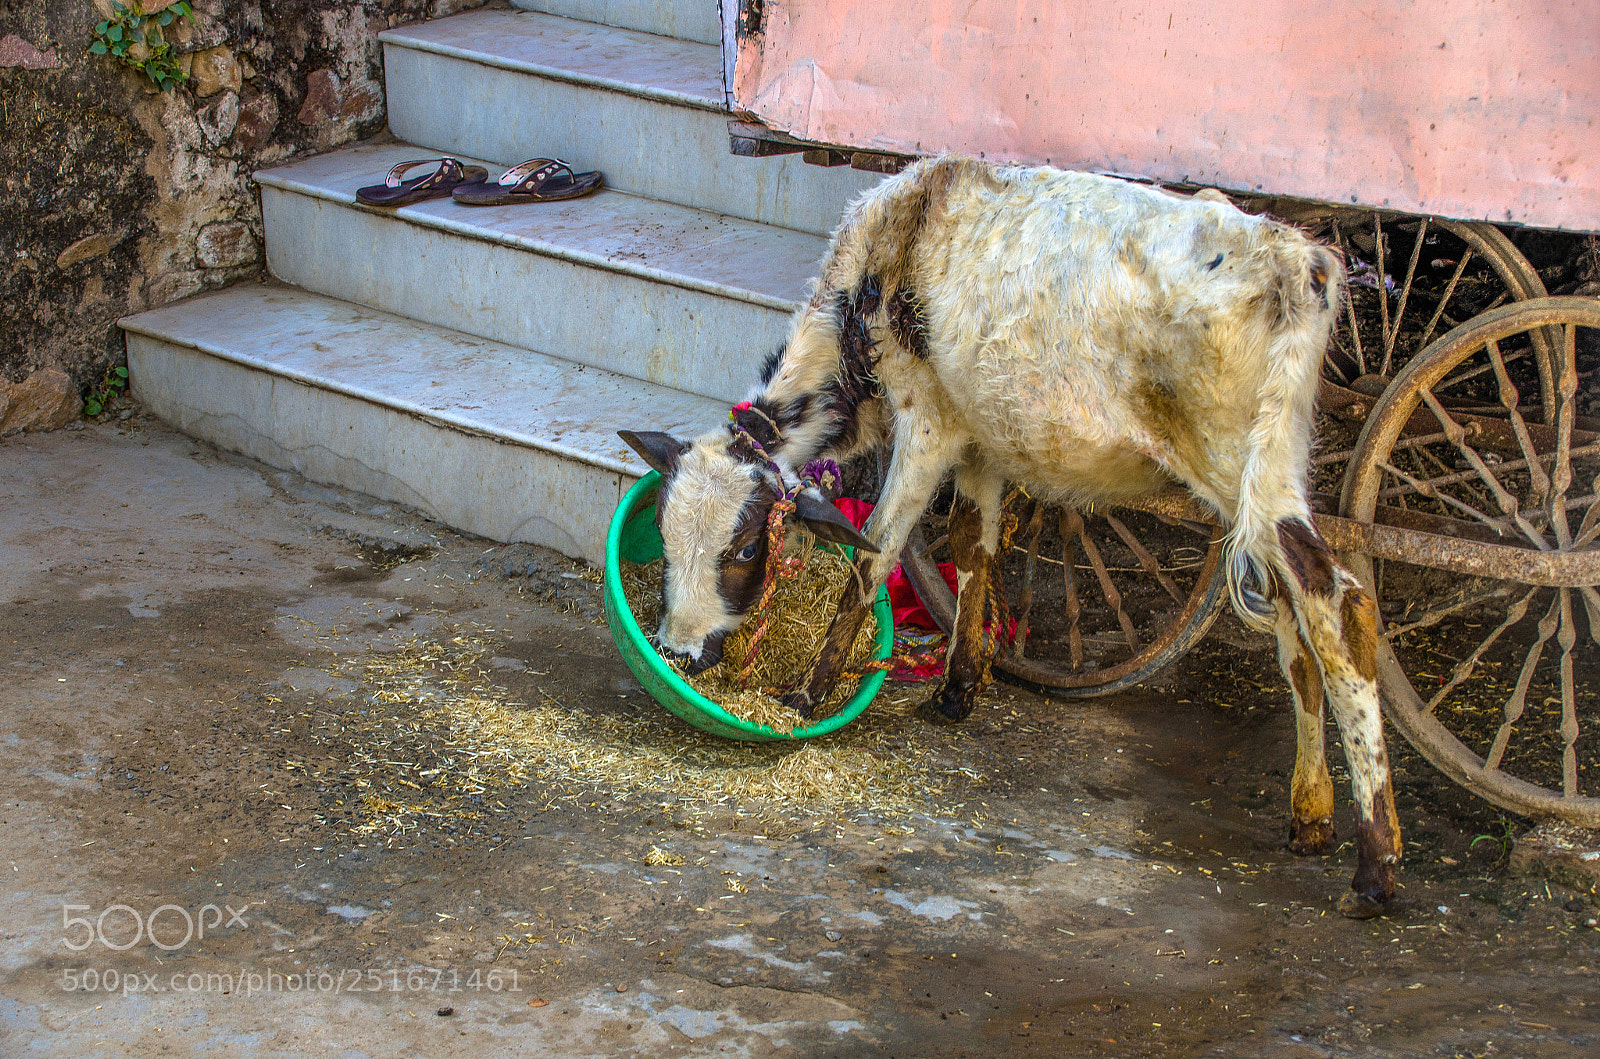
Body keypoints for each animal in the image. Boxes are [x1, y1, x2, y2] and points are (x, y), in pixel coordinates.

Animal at [620, 156, 1401, 918]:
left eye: (746, 549)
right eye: (663, 534)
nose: (679, 653)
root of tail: (1299, 260)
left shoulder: (928, 423)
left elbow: (875, 552)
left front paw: (806, 695)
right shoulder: (980, 440)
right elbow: (974, 546)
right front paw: (958, 688)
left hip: (1237, 463)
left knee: (1339, 606)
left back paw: (1375, 865)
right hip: (1270, 470)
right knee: (1295, 621)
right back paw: (1310, 813)